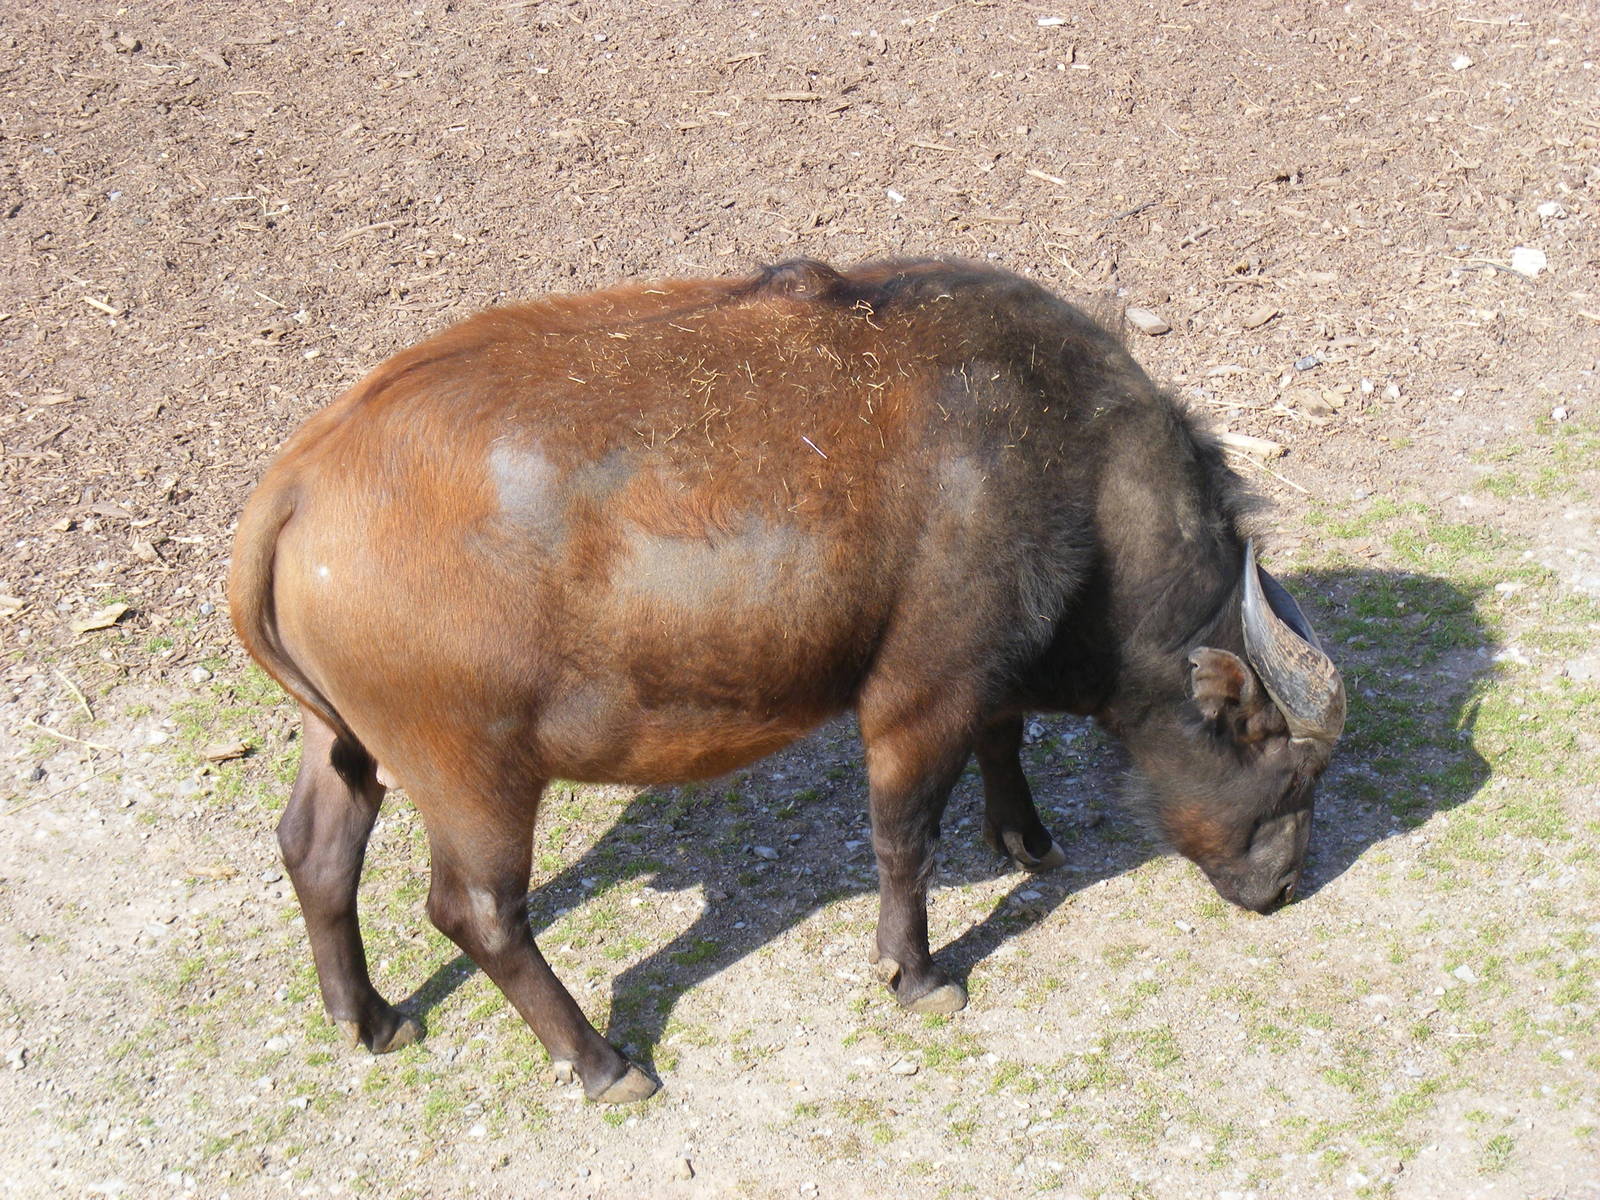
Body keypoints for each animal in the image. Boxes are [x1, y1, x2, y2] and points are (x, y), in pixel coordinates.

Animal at [229, 258, 1344, 1104]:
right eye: (1287, 771)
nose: (1285, 886)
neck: (1060, 458)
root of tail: (299, 479)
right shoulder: (916, 699)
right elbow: (905, 840)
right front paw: (915, 972)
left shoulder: (985, 670)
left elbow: (1005, 736)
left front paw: (1026, 838)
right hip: (472, 777)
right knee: (478, 913)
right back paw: (600, 1062)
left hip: (344, 743)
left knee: (316, 853)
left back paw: (371, 1019)